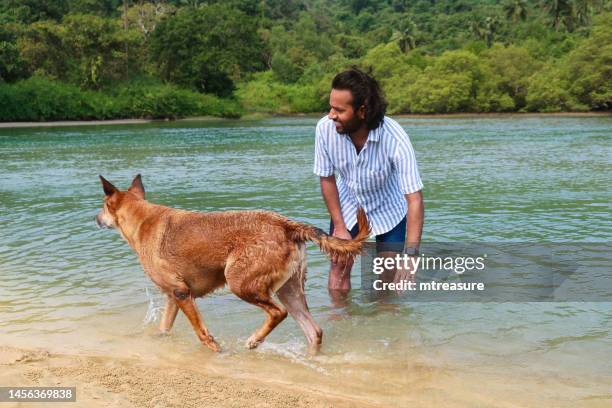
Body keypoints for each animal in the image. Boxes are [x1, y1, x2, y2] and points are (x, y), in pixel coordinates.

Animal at [95, 174, 368, 352]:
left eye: (103, 207)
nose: (96, 218)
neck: (141, 219)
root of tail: (286, 224)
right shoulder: (173, 295)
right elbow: (164, 328)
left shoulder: (181, 293)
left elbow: (202, 333)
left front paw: (215, 348)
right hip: (290, 289)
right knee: (314, 331)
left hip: (239, 282)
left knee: (278, 313)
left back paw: (254, 340)